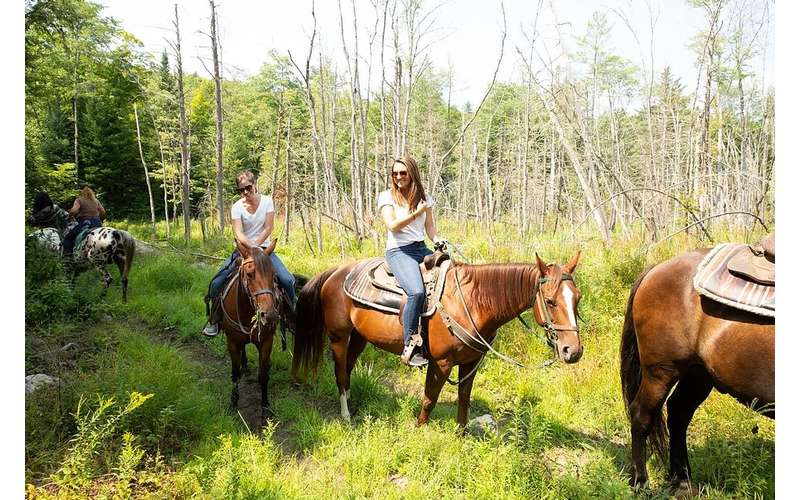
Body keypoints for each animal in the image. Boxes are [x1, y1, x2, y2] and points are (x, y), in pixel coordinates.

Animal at [290, 252, 584, 428]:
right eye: (550, 301)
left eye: (577, 298)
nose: (573, 351)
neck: (471, 303)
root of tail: (336, 271)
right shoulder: (440, 363)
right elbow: (429, 400)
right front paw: (419, 431)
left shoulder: (470, 363)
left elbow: (464, 399)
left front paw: (460, 435)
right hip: (339, 336)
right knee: (340, 372)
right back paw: (346, 414)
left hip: (359, 337)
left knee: (349, 368)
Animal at [620, 236, 776, 494]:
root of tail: (655, 269)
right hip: (660, 372)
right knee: (642, 415)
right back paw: (640, 482)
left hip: (698, 374)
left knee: (678, 413)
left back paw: (682, 481)